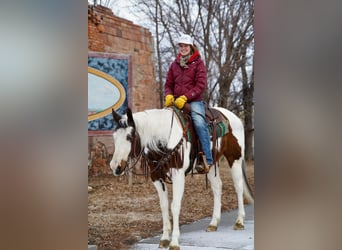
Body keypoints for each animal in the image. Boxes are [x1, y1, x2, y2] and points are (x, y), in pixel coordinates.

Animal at [109, 107, 254, 250]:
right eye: (114, 137)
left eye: (129, 137)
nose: (115, 167)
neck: (165, 139)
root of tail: (233, 117)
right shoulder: (157, 178)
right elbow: (164, 206)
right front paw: (164, 239)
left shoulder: (178, 176)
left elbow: (175, 206)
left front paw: (174, 242)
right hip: (212, 164)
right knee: (217, 187)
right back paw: (213, 223)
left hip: (234, 158)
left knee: (238, 187)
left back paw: (239, 221)